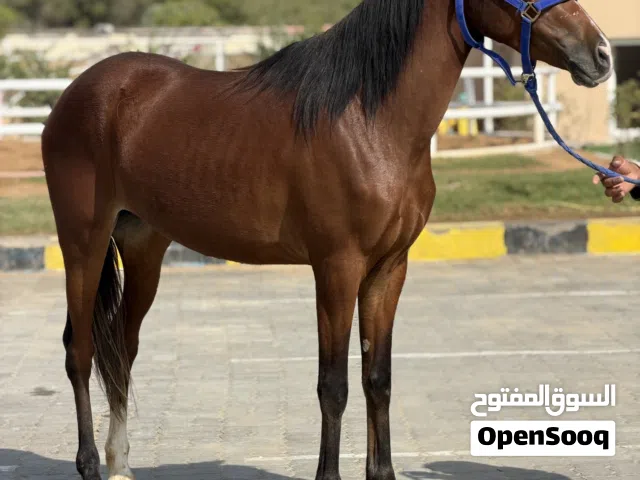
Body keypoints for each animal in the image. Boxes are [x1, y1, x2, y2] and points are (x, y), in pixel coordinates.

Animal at [41, 0, 613, 479]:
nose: (601, 53)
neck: (369, 122)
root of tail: (79, 91)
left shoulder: (388, 269)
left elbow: (377, 378)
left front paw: (381, 473)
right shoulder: (337, 267)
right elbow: (333, 384)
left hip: (144, 249)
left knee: (123, 346)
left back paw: (120, 464)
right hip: (83, 244)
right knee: (80, 350)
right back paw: (89, 464)